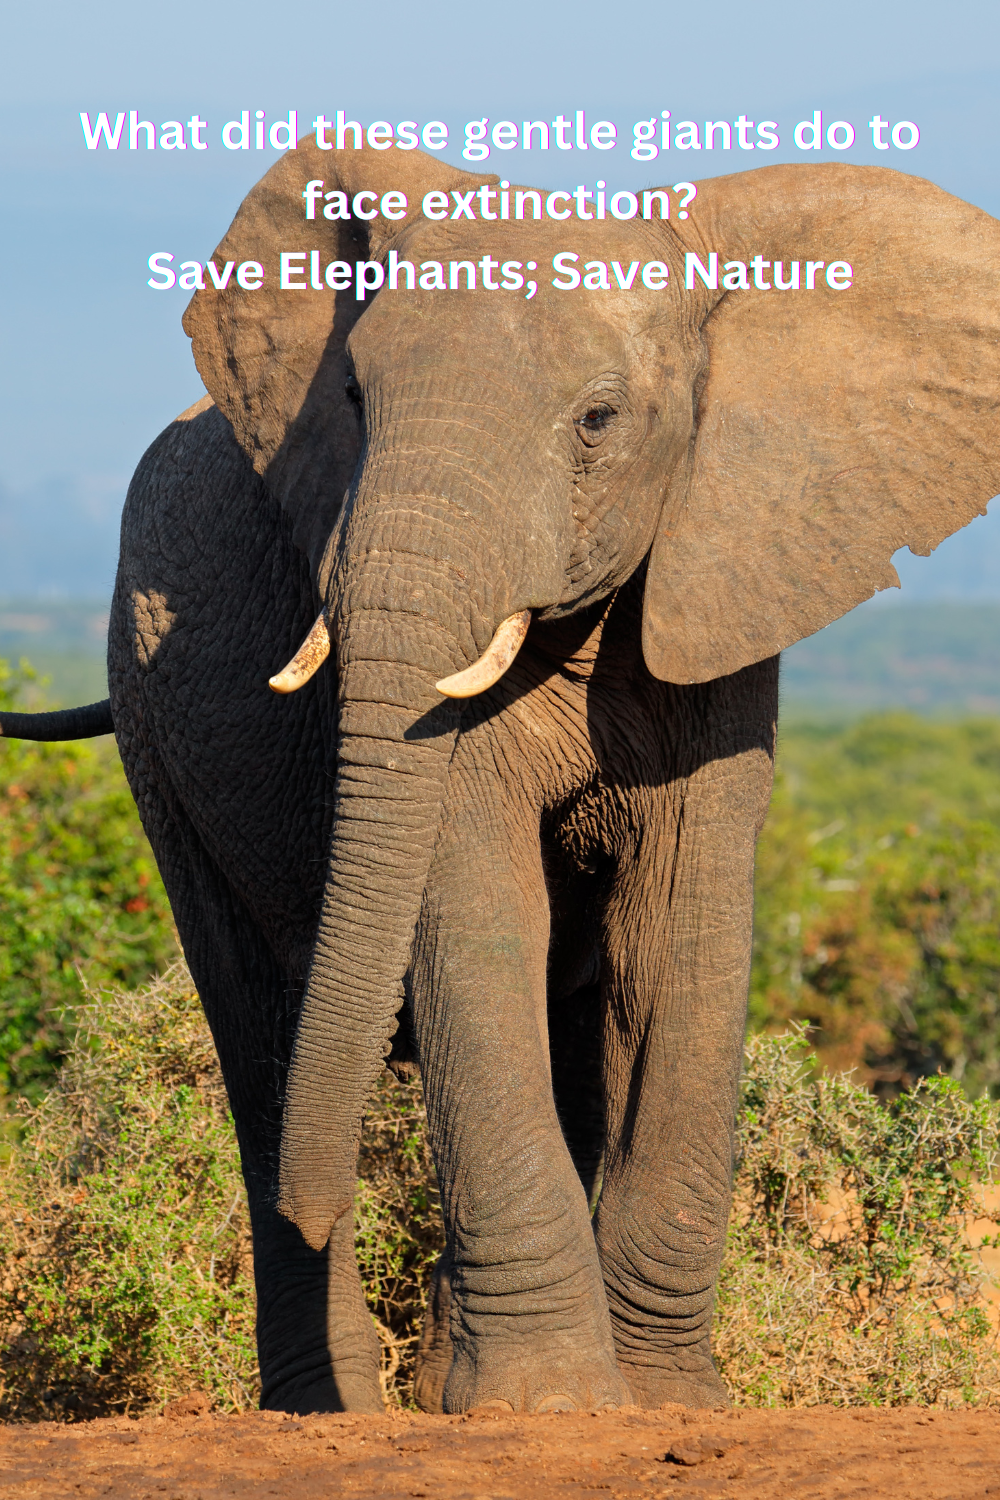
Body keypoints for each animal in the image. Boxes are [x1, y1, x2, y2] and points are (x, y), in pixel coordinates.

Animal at [4, 140, 999, 1417]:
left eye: (597, 420)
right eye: (352, 401)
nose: (330, 1196)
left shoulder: (720, 594)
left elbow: (673, 935)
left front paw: (660, 1406)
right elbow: (475, 914)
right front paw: (546, 1407)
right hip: (148, 720)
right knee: (258, 1034)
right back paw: (335, 1407)